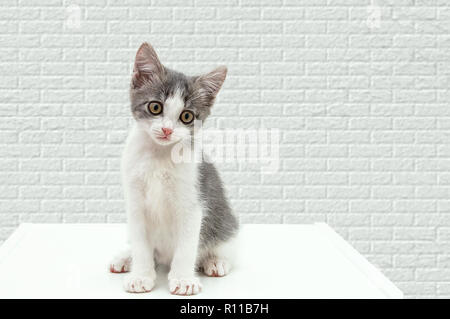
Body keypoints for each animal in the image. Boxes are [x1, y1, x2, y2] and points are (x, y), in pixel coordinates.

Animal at [109, 43, 239, 298]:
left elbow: (187, 245)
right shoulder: (135, 201)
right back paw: (126, 259)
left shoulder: (193, 200)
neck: (159, 156)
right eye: (155, 107)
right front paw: (141, 275)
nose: (167, 130)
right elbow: (141, 243)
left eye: (186, 116)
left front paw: (183, 279)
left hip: (225, 220)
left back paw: (214, 260)